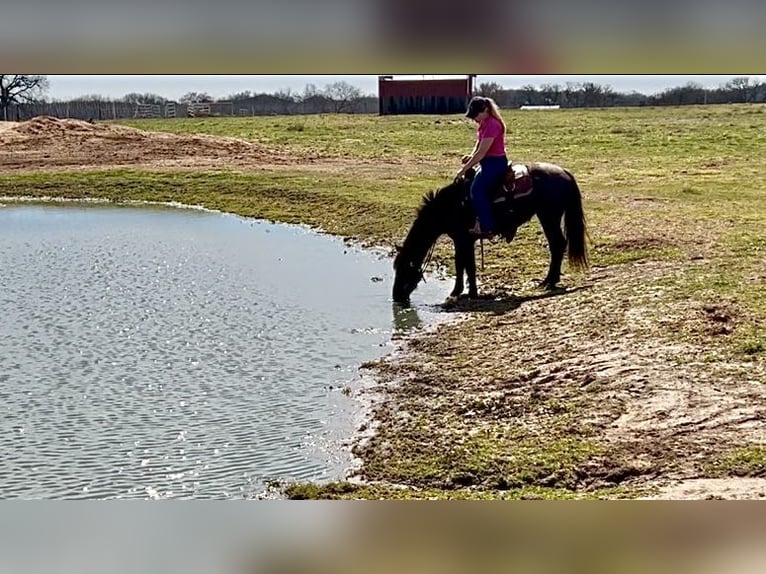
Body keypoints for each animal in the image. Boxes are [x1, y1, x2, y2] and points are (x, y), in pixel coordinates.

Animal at [392, 162, 592, 306]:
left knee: (557, 244)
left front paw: (464, 293)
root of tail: (564, 172)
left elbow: (466, 265)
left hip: (548, 216)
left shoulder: (464, 239)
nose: (396, 296)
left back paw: (548, 281)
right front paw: (464, 292)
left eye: (403, 269)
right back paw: (550, 281)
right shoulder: (462, 240)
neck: (451, 205)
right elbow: (463, 264)